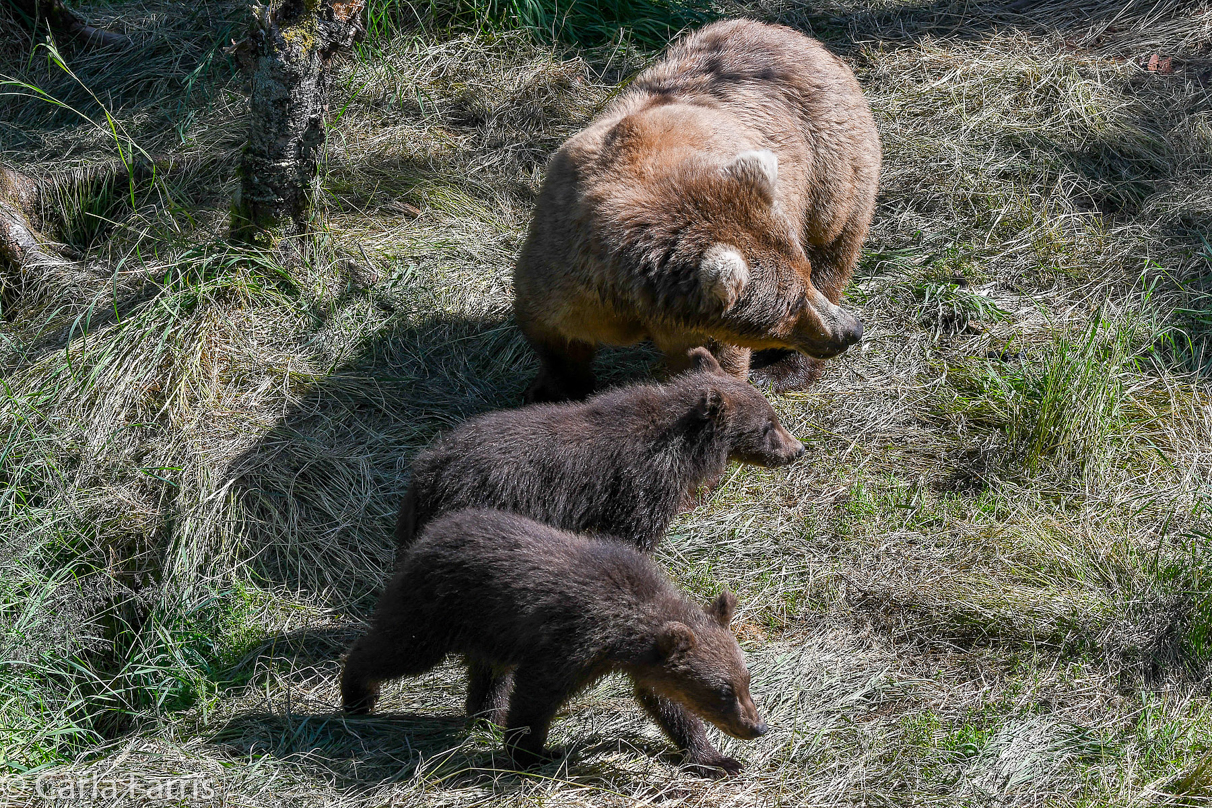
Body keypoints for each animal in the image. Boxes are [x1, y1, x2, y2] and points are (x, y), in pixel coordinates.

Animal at [513, 21, 882, 404]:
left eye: (801, 284)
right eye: (792, 304)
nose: (852, 330)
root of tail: (799, 37)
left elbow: (713, 359)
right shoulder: (567, 267)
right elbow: (556, 336)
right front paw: (553, 392)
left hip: (830, 168)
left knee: (833, 247)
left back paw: (784, 369)